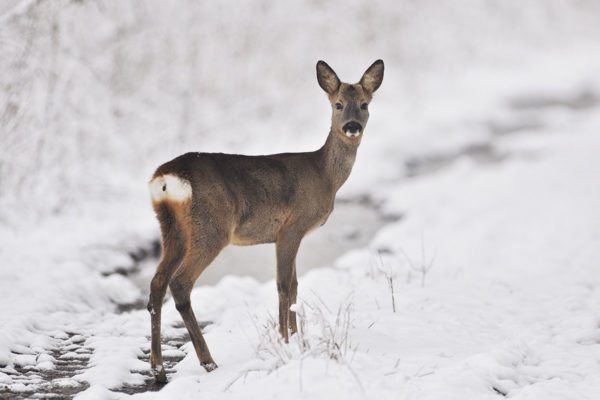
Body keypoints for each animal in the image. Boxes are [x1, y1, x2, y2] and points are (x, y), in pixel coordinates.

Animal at [148, 58, 386, 382]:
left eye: (364, 104)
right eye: (337, 104)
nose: (352, 127)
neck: (324, 176)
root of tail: (165, 179)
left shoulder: (290, 234)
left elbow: (295, 284)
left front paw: (298, 339)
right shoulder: (292, 226)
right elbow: (284, 285)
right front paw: (286, 340)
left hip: (171, 228)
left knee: (157, 283)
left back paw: (158, 368)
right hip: (211, 228)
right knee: (180, 283)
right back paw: (208, 361)